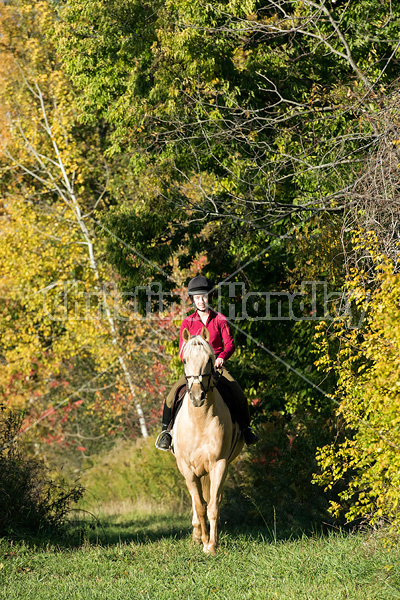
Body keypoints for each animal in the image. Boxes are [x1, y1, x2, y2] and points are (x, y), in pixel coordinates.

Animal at [172, 326, 244, 556]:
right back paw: (196, 535)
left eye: (210, 359)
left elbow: (212, 506)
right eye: (185, 359)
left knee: (213, 499)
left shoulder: (219, 464)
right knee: (197, 501)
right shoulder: (187, 468)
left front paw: (211, 545)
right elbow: (200, 506)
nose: (197, 396)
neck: (199, 420)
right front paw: (202, 539)